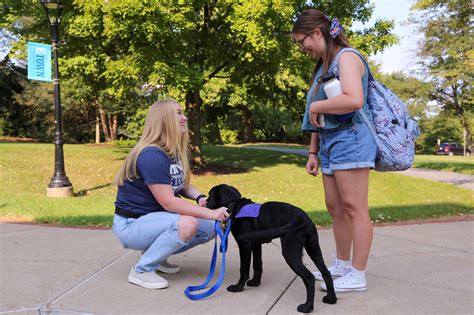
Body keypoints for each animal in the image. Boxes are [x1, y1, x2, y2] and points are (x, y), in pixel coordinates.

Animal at [207, 185, 336, 314]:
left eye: (210, 194)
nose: (205, 202)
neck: (234, 205)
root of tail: (303, 219)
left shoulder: (245, 245)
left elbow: (244, 269)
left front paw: (238, 287)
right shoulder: (256, 245)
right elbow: (257, 265)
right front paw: (255, 282)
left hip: (290, 252)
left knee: (309, 278)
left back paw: (307, 307)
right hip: (313, 248)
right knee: (326, 272)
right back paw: (331, 299)